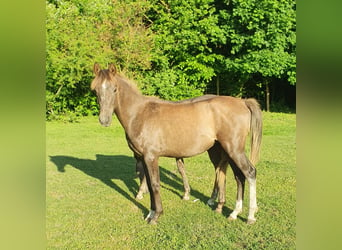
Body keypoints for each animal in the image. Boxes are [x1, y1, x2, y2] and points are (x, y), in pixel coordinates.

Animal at [90, 63, 262, 225]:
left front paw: (156, 216)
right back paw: (233, 212)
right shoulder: (145, 158)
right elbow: (150, 185)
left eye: (114, 89)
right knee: (238, 176)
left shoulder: (151, 157)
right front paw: (150, 213)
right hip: (227, 150)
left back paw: (250, 216)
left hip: (234, 149)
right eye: (95, 91)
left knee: (250, 172)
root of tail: (243, 102)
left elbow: (155, 184)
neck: (140, 114)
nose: (104, 120)